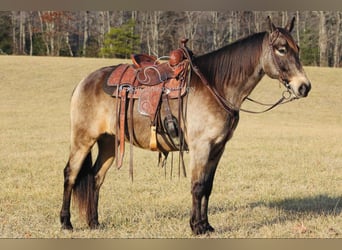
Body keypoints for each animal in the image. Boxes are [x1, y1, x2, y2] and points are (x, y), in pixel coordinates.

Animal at [60, 16, 312, 235]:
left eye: (297, 48)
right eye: (281, 49)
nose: (304, 87)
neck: (216, 85)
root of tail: (85, 81)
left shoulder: (217, 148)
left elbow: (208, 186)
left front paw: (207, 225)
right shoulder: (201, 147)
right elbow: (197, 186)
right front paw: (196, 227)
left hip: (108, 142)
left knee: (95, 178)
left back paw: (94, 222)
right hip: (83, 139)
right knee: (71, 174)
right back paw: (66, 222)